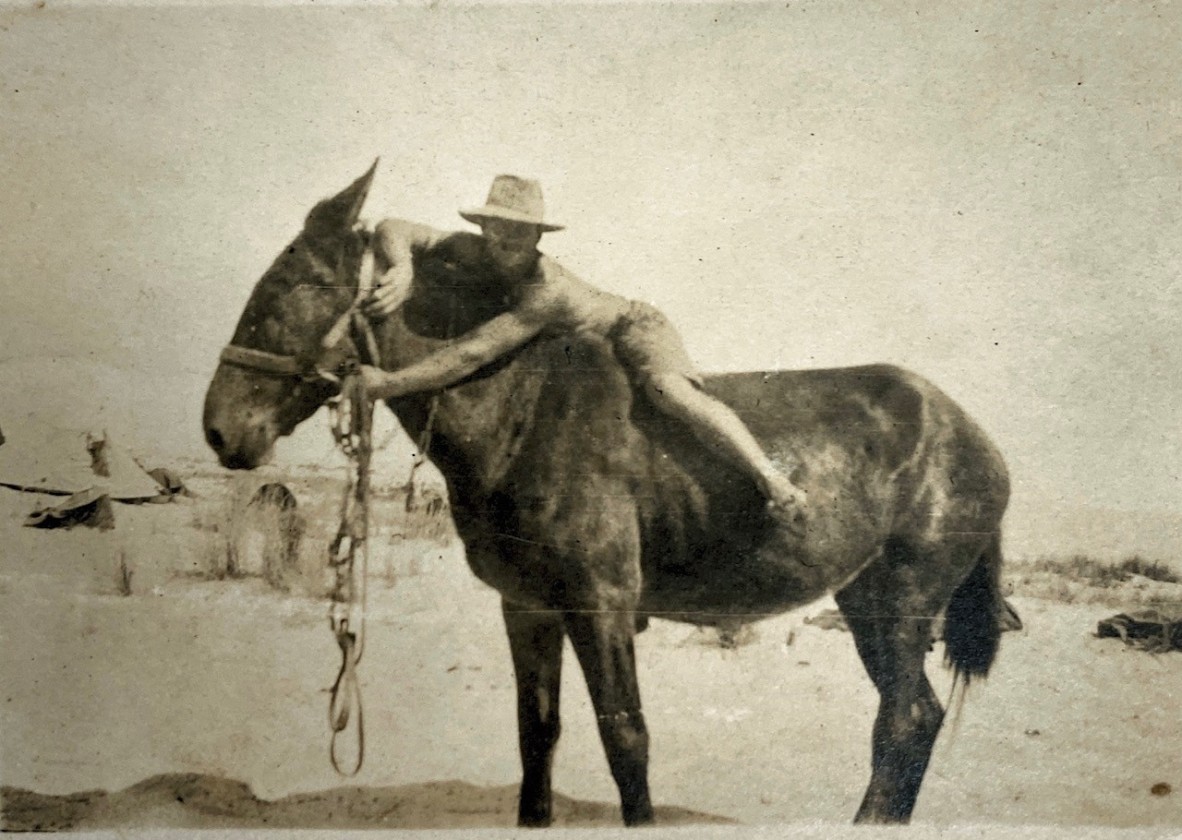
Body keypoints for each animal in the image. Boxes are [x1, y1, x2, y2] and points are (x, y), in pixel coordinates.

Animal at [200, 165, 1007, 827]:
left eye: (285, 290)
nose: (218, 430)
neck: (523, 411)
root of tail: (970, 431)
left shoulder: (603, 603)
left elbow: (626, 736)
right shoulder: (527, 606)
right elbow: (537, 735)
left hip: (902, 601)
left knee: (902, 719)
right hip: (864, 597)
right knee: (912, 719)